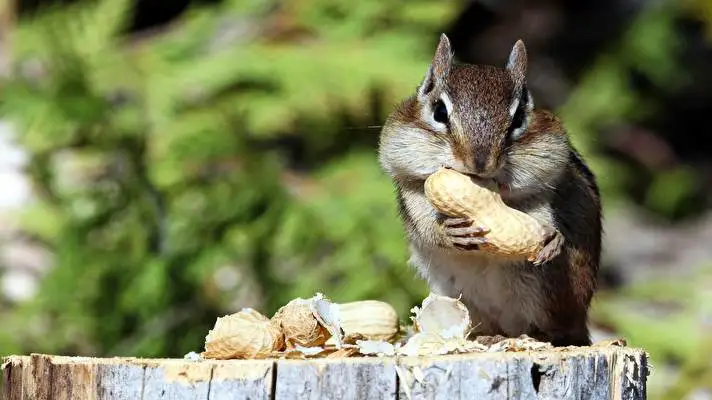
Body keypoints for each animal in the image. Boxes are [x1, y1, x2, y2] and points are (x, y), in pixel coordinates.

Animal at [378, 34, 601, 347]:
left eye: (518, 119)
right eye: (439, 111)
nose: (480, 163)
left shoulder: (541, 189)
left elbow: (542, 217)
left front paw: (552, 239)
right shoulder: (413, 192)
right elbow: (425, 226)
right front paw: (448, 232)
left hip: (549, 290)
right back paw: (483, 337)